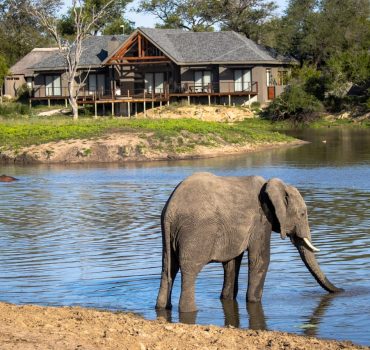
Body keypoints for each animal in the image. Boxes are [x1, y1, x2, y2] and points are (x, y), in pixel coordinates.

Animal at [155, 172, 342, 312]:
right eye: (302, 214)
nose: (342, 291)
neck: (274, 185)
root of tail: (171, 208)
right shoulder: (261, 220)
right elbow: (260, 259)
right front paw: (254, 301)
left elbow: (231, 263)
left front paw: (227, 298)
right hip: (196, 231)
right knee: (189, 271)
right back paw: (189, 310)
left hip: (169, 234)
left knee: (168, 268)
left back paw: (162, 308)